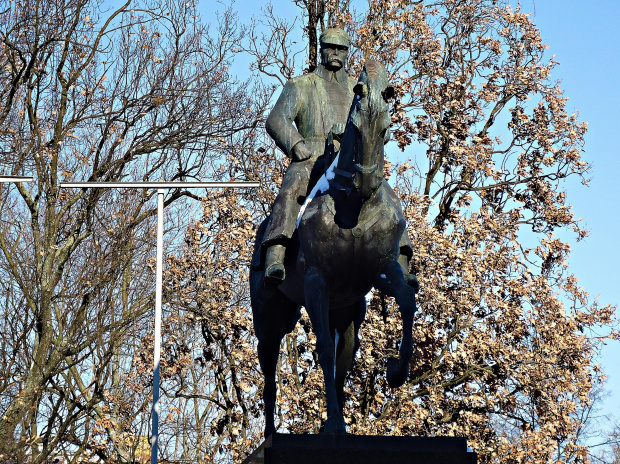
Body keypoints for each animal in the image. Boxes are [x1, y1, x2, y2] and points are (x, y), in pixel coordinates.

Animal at [251, 60, 416, 436]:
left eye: (386, 129)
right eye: (355, 126)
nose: (366, 182)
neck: (354, 206)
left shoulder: (383, 269)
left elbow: (407, 300)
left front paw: (397, 371)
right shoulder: (317, 282)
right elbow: (324, 349)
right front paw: (337, 426)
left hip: (347, 312)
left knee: (345, 360)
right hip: (269, 322)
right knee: (269, 377)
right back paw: (270, 433)